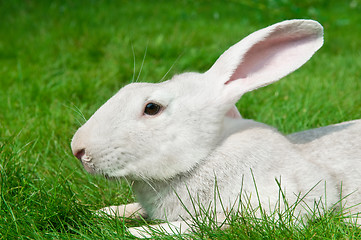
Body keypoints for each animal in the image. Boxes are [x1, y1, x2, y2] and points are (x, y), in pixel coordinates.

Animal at [71, 19, 360, 237]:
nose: (77, 149)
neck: (206, 156)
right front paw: (105, 213)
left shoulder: (286, 201)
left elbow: (208, 223)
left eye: (152, 108)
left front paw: (136, 232)